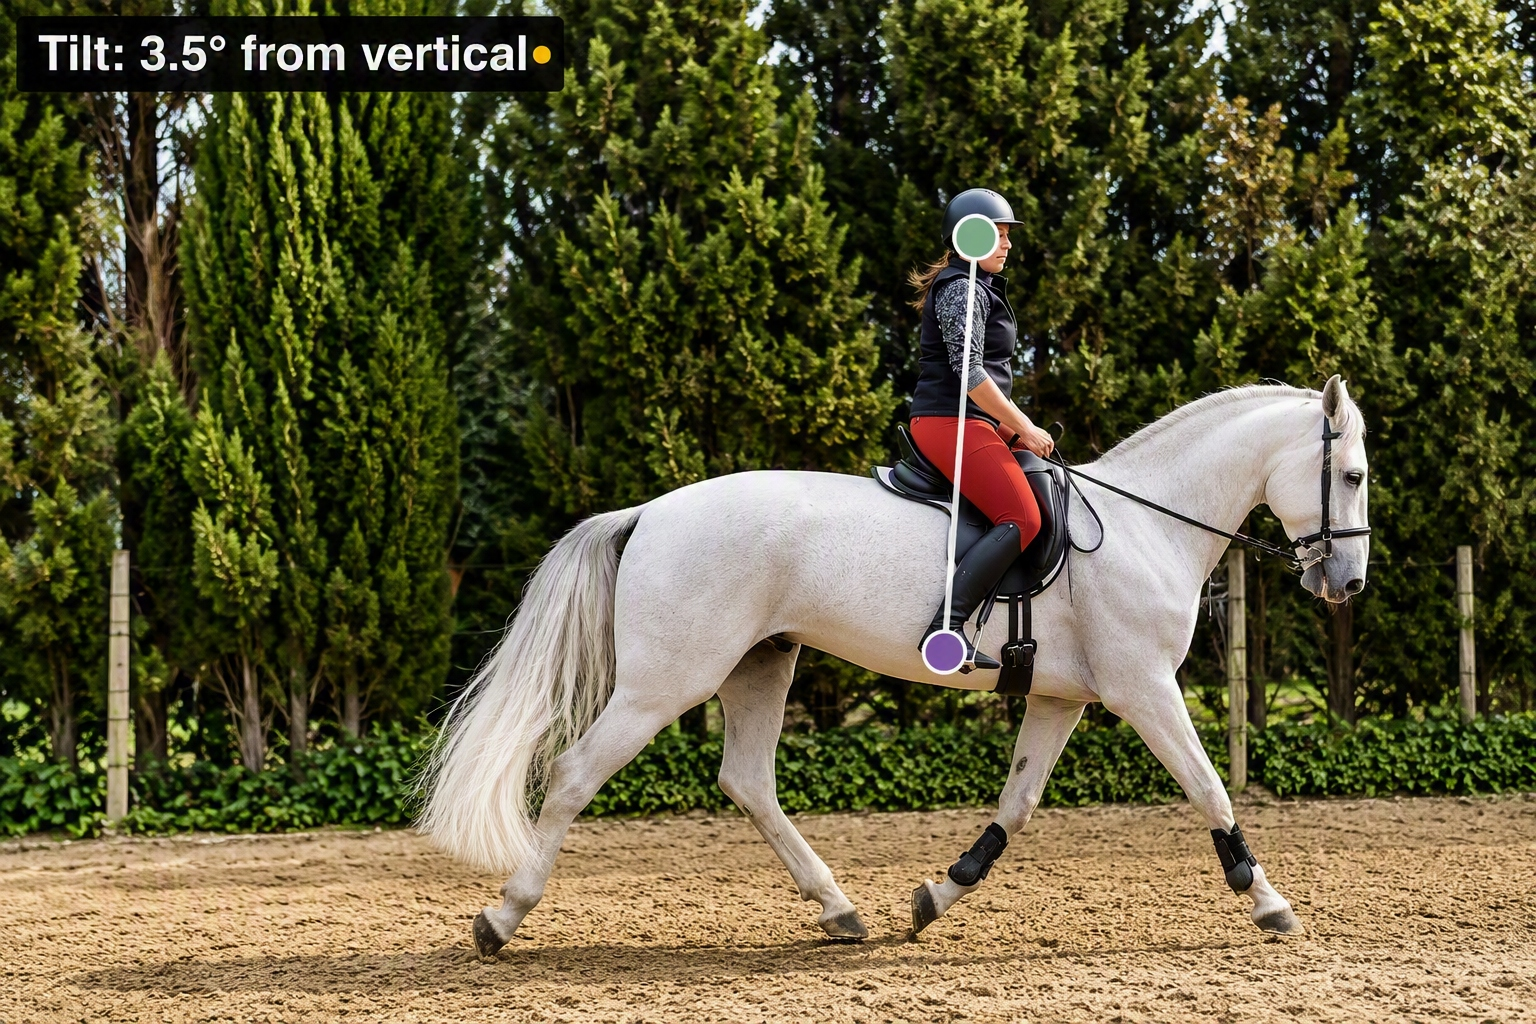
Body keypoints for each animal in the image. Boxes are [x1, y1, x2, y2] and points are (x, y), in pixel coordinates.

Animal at [420, 377, 1371, 954]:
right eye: (1354, 475)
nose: (1348, 583)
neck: (1147, 525)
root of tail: (651, 509)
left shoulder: (1061, 699)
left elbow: (1017, 805)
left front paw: (938, 895)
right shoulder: (1144, 689)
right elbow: (1211, 789)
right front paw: (1269, 901)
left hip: (761, 665)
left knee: (747, 781)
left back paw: (840, 908)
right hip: (667, 681)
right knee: (578, 772)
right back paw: (502, 916)